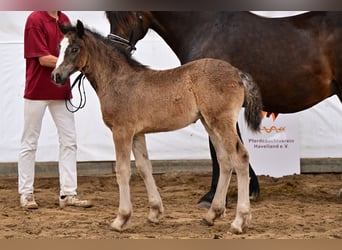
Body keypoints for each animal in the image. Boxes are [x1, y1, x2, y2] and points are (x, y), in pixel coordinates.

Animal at [50, 20, 264, 233]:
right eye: (59, 47)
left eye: (75, 48)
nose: (56, 76)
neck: (118, 80)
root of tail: (237, 73)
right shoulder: (137, 134)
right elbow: (144, 167)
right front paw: (154, 213)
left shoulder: (122, 131)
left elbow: (122, 170)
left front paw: (120, 219)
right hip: (210, 123)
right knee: (225, 160)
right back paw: (211, 215)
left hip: (221, 122)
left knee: (240, 157)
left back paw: (239, 221)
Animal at [105, 11, 342, 206]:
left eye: (126, 13)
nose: (116, 53)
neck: (206, 29)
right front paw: (251, 189)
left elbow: (217, 149)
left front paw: (212, 197)